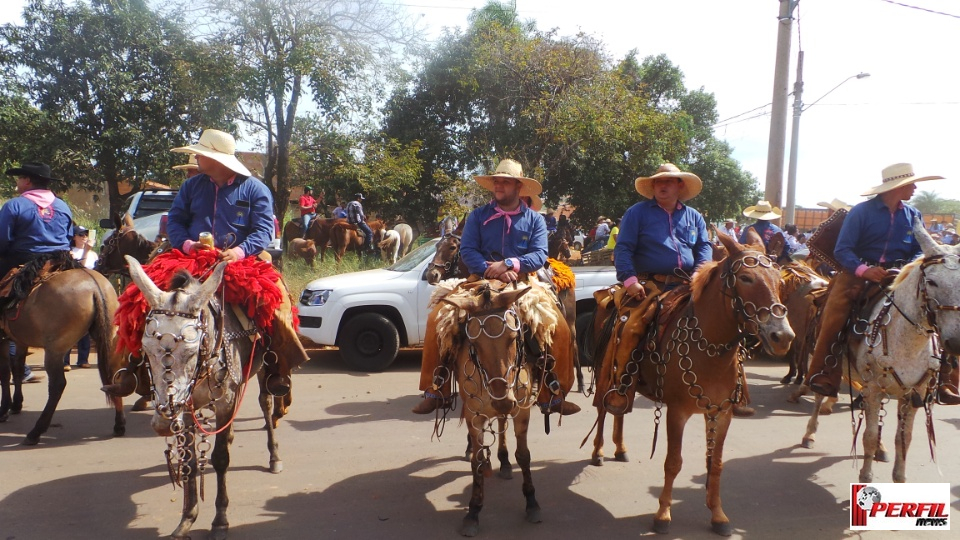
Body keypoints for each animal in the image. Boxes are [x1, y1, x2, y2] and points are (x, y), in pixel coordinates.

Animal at [0, 264, 124, 446]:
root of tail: (95, 287)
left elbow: (5, 373)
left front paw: (4, 410)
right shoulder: (20, 340)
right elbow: (17, 369)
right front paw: (16, 404)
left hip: (54, 351)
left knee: (57, 385)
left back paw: (36, 432)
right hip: (109, 339)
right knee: (114, 376)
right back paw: (119, 424)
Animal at [430, 278, 564, 536]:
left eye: (513, 337)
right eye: (473, 342)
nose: (503, 400)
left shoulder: (521, 410)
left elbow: (524, 455)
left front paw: (532, 503)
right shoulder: (474, 415)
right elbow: (477, 461)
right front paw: (473, 511)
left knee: (502, 422)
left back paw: (504, 460)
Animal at [588, 233, 792, 536]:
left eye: (780, 280)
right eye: (745, 278)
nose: (783, 337)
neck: (710, 350)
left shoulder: (721, 412)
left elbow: (716, 464)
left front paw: (718, 515)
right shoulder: (677, 412)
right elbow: (673, 463)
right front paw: (662, 515)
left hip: (623, 381)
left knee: (619, 410)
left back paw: (621, 448)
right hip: (604, 372)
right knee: (602, 410)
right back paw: (599, 451)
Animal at [796, 221, 960, 484]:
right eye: (933, 281)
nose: (955, 342)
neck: (908, 343)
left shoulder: (914, 394)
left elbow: (904, 439)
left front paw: (899, 476)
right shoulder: (873, 388)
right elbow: (869, 435)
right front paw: (866, 474)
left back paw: (881, 450)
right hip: (824, 359)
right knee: (820, 395)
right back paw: (809, 434)